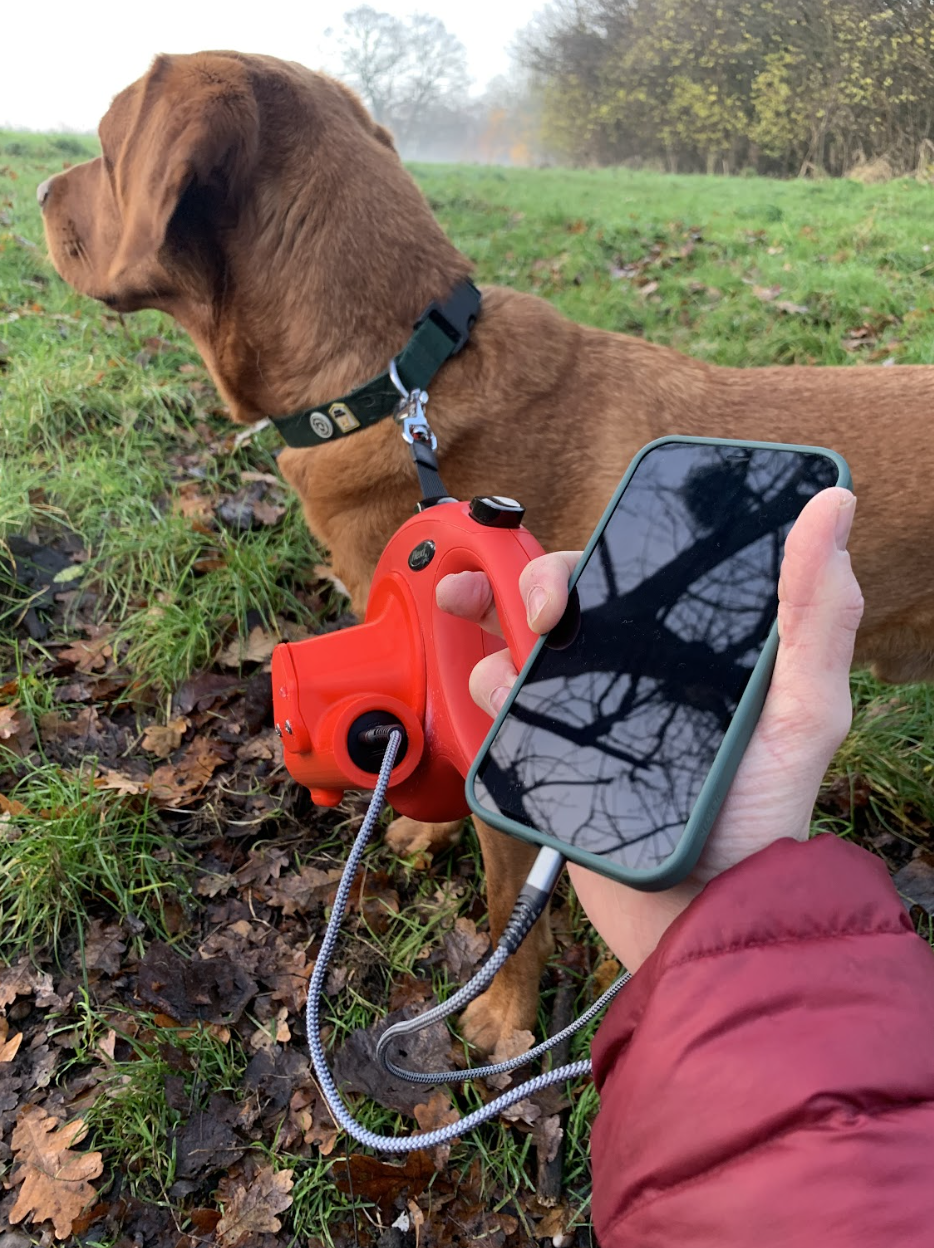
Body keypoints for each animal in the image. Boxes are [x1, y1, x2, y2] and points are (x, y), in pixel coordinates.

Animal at [39, 50, 934, 1052]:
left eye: (106, 145)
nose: (33, 189)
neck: (395, 383)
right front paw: (426, 831)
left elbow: (512, 894)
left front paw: (504, 1014)